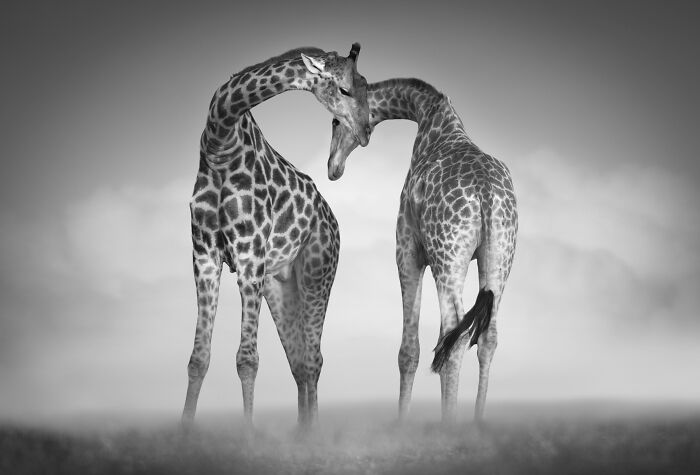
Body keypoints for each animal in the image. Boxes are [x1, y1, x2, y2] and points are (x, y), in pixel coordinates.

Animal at [182, 44, 370, 430]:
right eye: (344, 89)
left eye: (366, 87)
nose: (365, 131)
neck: (220, 139)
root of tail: (333, 221)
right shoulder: (204, 254)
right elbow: (198, 357)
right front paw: (183, 432)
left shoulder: (249, 254)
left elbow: (247, 359)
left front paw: (248, 435)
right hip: (280, 283)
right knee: (298, 361)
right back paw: (300, 432)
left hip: (317, 273)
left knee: (313, 359)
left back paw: (311, 432)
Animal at [327, 78, 517, 424]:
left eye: (335, 120)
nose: (333, 168)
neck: (432, 119)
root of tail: (485, 192)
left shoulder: (407, 251)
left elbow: (409, 350)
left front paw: (402, 422)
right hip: (499, 256)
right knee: (485, 336)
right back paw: (476, 422)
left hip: (447, 255)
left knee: (455, 332)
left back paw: (451, 425)